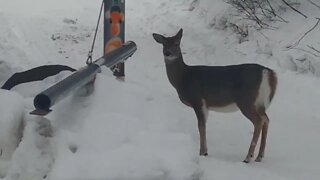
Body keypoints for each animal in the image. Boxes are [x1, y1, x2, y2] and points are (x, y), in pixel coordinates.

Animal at [152, 28, 278, 163]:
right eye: (164, 44)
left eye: (176, 43)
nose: (167, 53)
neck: (183, 77)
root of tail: (268, 73)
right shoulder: (205, 105)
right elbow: (203, 126)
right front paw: (205, 152)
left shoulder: (198, 99)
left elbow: (201, 126)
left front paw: (202, 153)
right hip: (259, 102)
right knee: (266, 119)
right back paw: (259, 156)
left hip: (246, 100)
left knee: (259, 121)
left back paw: (248, 157)